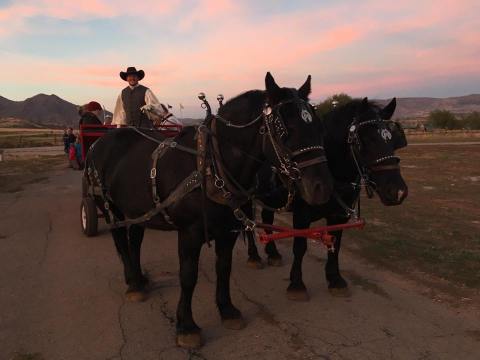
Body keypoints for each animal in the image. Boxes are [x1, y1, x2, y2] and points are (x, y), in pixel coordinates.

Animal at [84, 74, 334, 348]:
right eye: (285, 130)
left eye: (320, 127)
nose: (322, 188)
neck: (211, 165)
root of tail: (98, 143)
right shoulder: (189, 233)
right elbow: (188, 276)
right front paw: (187, 326)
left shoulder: (228, 230)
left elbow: (223, 268)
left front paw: (227, 310)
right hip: (111, 208)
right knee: (120, 241)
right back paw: (133, 284)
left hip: (138, 209)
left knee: (135, 241)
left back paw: (138, 278)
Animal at [248, 97, 408, 300]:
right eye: (366, 139)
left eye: (392, 139)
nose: (398, 191)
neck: (329, 170)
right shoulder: (301, 216)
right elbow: (299, 246)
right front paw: (296, 284)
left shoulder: (338, 216)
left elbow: (335, 244)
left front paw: (335, 279)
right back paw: (254, 256)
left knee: (267, 220)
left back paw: (273, 253)